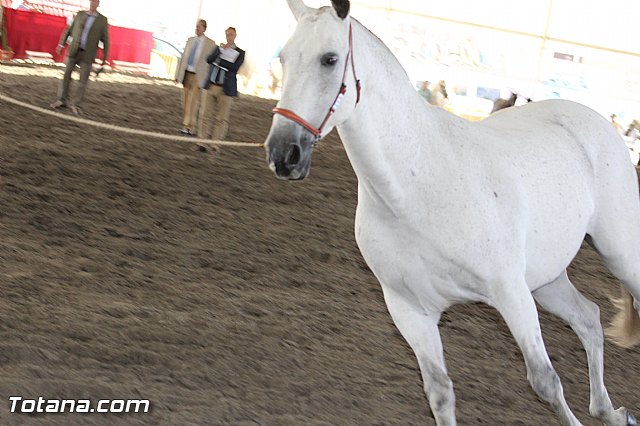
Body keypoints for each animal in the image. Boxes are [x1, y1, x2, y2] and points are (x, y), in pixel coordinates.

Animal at [264, 1, 640, 424]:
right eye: (284, 58)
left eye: (329, 59)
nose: (283, 154)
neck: (414, 190)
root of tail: (596, 122)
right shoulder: (410, 311)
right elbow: (440, 392)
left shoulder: (510, 294)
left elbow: (545, 380)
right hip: (547, 280)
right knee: (588, 319)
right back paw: (609, 410)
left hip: (620, 256)